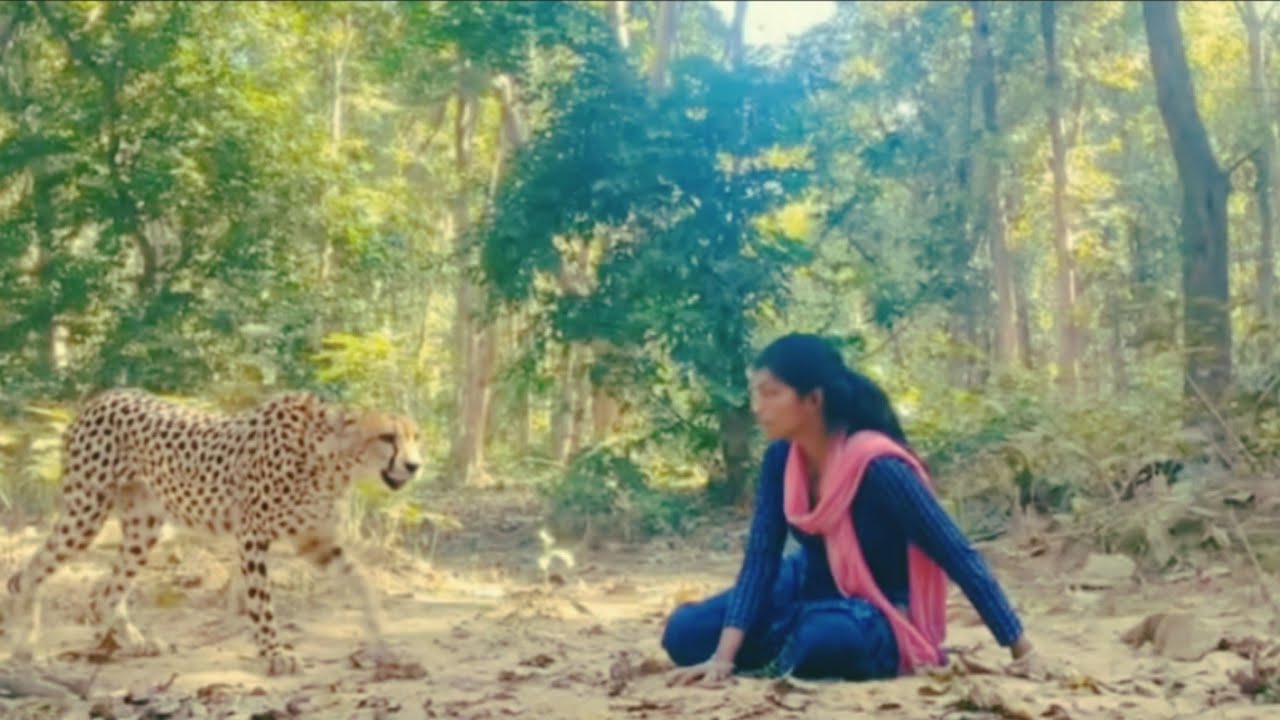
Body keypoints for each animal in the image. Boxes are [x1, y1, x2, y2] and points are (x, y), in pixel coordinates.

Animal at [1, 388, 422, 675]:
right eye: (387, 437)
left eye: (415, 437)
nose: (415, 465)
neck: (330, 460)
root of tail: (102, 396)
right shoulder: (253, 535)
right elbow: (261, 601)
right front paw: (274, 653)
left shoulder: (315, 540)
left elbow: (362, 583)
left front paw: (382, 639)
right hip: (86, 513)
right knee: (29, 572)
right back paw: (26, 649)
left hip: (143, 527)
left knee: (105, 592)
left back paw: (135, 643)